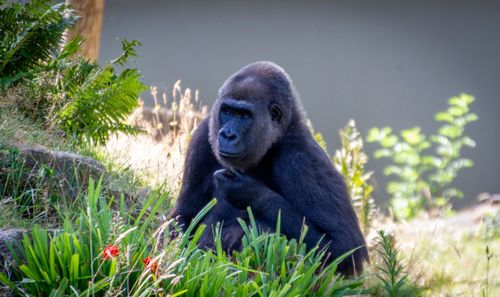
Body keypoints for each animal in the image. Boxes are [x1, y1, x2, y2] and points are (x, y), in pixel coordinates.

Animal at [170, 60, 370, 276]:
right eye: (227, 111)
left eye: (244, 115)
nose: (227, 135)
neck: (279, 137)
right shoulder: (203, 135)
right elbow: (184, 213)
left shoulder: (301, 158)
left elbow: (344, 247)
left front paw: (250, 192)